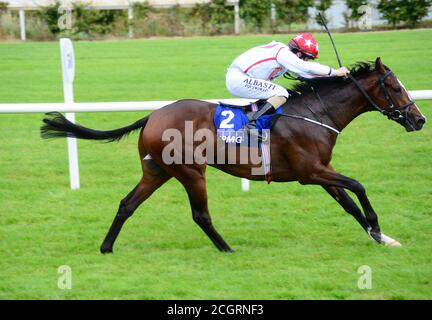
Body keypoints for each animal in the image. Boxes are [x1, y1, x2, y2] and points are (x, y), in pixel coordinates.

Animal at [40, 57, 426, 252]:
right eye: (395, 88)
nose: (420, 119)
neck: (317, 113)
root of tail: (152, 116)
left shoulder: (321, 170)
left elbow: (347, 202)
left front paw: (382, 237)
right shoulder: (310, 172)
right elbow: (358, 186)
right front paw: (377, 226)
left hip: (157, 171)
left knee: (126, 204)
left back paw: (106, 247)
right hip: (191, 172)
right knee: (200, 214)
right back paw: (226, 249)